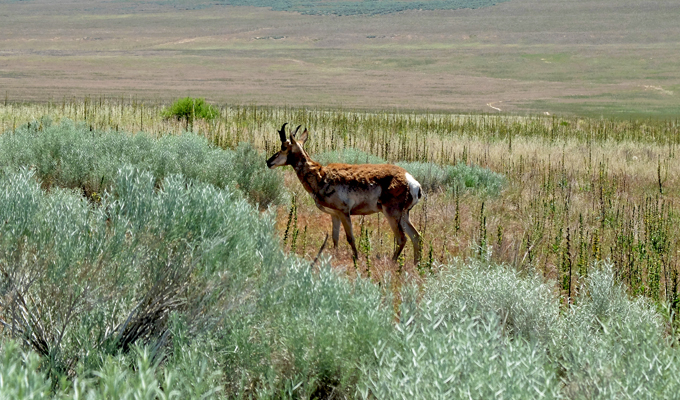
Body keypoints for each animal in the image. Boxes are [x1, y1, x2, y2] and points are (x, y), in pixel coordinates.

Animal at [266, 123, 423, 263]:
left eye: (284, 147)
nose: (268, 161)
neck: (321, 176)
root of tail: (411, 180)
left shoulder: (344, 212)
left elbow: (350, 238)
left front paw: (356, 260)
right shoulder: (334, 214)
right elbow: (335, 238)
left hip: (391, 214)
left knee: (402, 238)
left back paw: (393, 263)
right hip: (404, 215)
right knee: (416, 237)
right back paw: (417, 265)